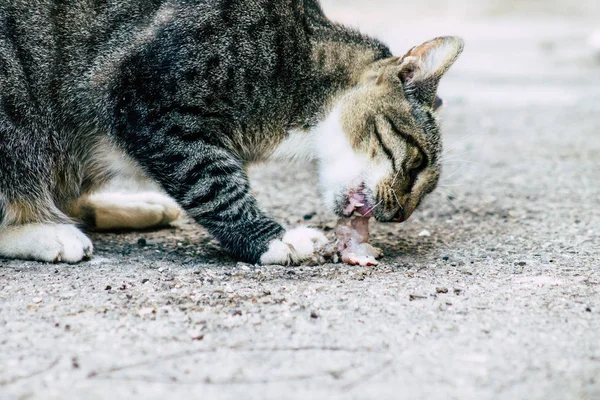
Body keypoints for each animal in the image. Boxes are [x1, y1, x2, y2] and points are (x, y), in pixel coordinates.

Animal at [0, 1, 464, 268]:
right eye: (417, 164)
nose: (401, 214)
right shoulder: (151, 101)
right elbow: (213, 184)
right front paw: (273, 240)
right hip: (18, 126)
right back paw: (51, 233)